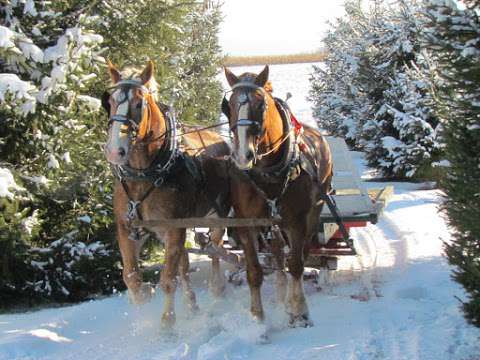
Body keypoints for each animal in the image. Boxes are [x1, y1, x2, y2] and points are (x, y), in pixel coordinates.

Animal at [104, 61, 231, 326]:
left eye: (139, 103)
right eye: (109, 101)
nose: (114, 151)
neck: (145, 174)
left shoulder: (173, 228)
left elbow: (168, 280)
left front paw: (167, 323)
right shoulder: (128, 227)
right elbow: (131, 277)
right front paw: (144, 297)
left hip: (217, 216)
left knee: (215, 249)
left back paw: (216, 287)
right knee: (185, 262)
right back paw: (191, 304)